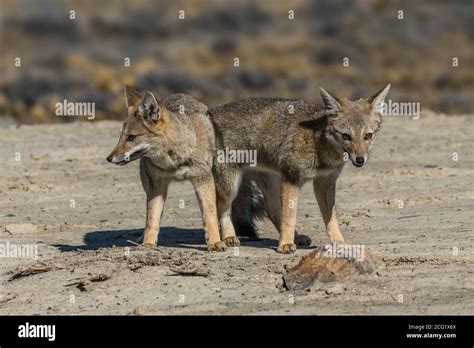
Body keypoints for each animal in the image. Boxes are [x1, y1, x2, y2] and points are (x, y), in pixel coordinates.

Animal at [108, 86, 227, 251]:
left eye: (131, 137)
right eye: (120, 137)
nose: (109, 158)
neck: (174, 161)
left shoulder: (203, 180)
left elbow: (210, 215)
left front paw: (215, 242)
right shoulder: (156, 186)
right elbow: (151, 219)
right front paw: (148, 244)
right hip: (150, 186)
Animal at [209, 84, 390, 253]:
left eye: (368, 136)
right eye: (346, 136)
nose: (360, 160)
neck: (318, 144)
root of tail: (212, 111)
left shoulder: (325, 182)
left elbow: (331, 218)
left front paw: (339, 242)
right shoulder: (292, 178)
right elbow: (290, 216)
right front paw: (285, 244)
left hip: (270, 181)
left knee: (272, 210)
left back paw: (296, 237)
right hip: (230, 187)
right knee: (220, 208)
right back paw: (228, 237)